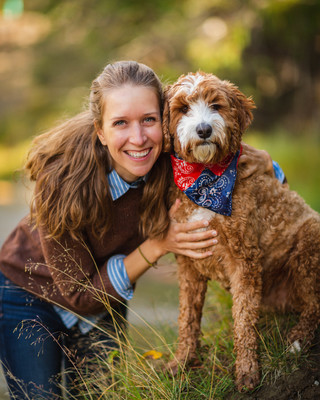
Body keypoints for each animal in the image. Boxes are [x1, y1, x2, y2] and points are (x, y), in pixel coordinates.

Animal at [162, 72, 320, 390]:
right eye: (183, 109)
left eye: (216, 105)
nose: (204, 129)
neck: (205, 180)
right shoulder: (189, 263)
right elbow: (188, 318)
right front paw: (182, 362)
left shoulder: (243, 259)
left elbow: (244, 318)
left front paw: (247, 371)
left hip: (310, 241)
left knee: (316, 306)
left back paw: (298, 338)